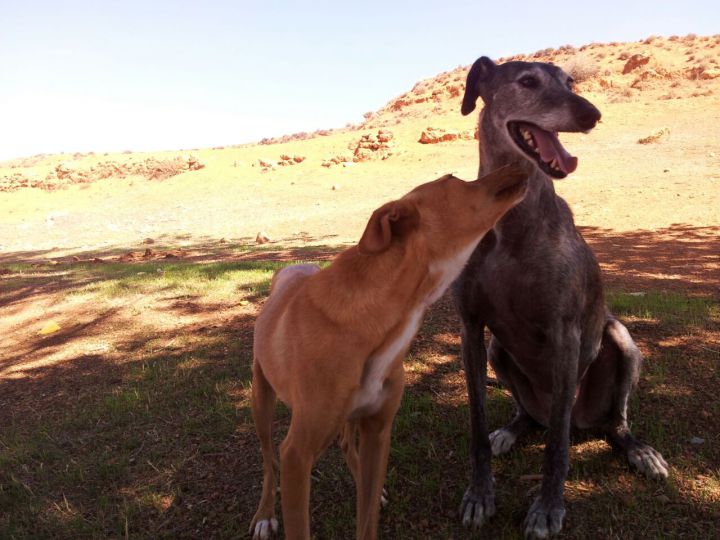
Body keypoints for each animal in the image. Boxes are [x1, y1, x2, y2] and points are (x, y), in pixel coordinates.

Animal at [250, 166, 524, 540]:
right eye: (453, 179)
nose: (518, 162)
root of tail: (292, 267)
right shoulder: (297, 454)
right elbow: (289, 487)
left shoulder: (380, 432)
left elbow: (367, 520)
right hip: (260, 400)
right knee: (267, 460)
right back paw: (264, 513)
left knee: (346, 444)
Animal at [452, 57, 668, 536]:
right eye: (527, 81)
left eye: (570, 82)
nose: (592, 114)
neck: (510, 219)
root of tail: (588, 419)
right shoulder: (472, 328)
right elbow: (475, 426)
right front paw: (478, 495)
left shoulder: (564, 332)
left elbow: (556, 447)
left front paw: (547, 508)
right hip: (498, 352)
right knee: (531, 416)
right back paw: (510, 431)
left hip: (621, 343)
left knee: (611, 423)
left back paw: (640, 450)